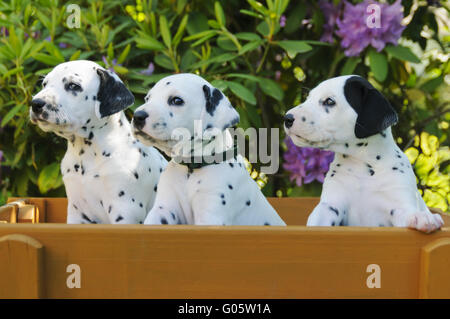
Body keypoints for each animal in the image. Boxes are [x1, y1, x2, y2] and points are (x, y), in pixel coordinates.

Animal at [29, 60, 167, 225]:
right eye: (45, 84)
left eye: (73, 86)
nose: (35, 103)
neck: (87, 155)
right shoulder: (77, 211)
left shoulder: (125, 211)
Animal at [131, 74, 284, 226]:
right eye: (147, 99)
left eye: (176, 100)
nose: (137, 116)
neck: (190, 169)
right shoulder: (164, 210)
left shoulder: (210, 217)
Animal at [284, 76, 442, 234]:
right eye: (308, 98)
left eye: (329, 101)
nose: (287, 118)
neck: (363, 164)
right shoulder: (331, 205)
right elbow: (318, 219)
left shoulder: (399, 203)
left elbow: (407, 212)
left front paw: (421, 217)